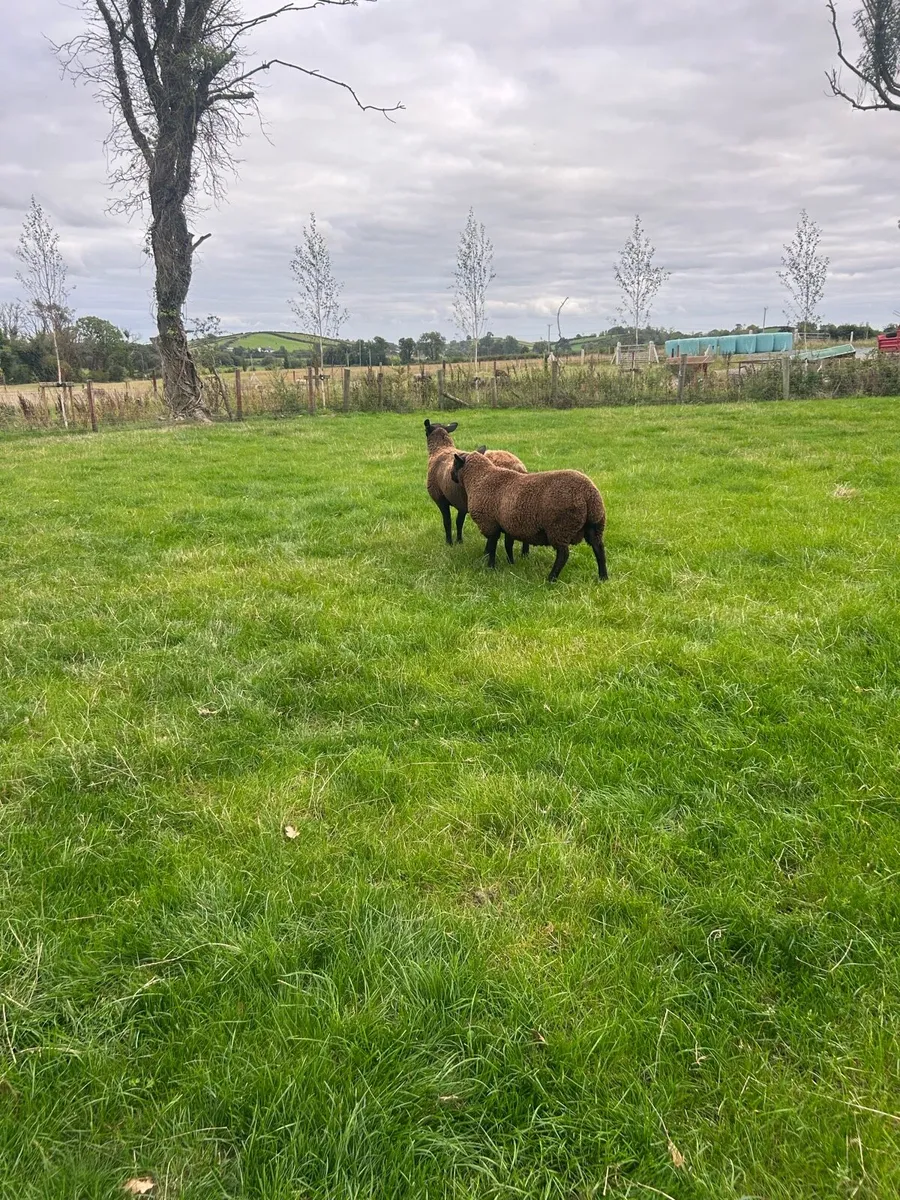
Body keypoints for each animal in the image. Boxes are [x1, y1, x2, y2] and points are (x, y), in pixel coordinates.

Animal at [423, 419, 529, 559]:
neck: (441, 449)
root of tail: (518, 466)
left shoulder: (440, 498)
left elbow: (447, 522)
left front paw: (449, 543)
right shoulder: (461, 503)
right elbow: (459, 522)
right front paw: (459, 541)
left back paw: (487, 553)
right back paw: (525, 554)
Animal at [450, 450, 608, 582]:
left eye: (455, 464)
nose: (451, 476)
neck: (480, 478)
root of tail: (587, 493)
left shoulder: (489, 523)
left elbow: (491, 546)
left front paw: (490, 567)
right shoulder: (508, 524)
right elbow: (507, 545)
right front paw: (511, 563)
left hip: (559, 527)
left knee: (563, 555)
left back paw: (551, 579)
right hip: (595, 524)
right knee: (599, 549)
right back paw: (603, 577)